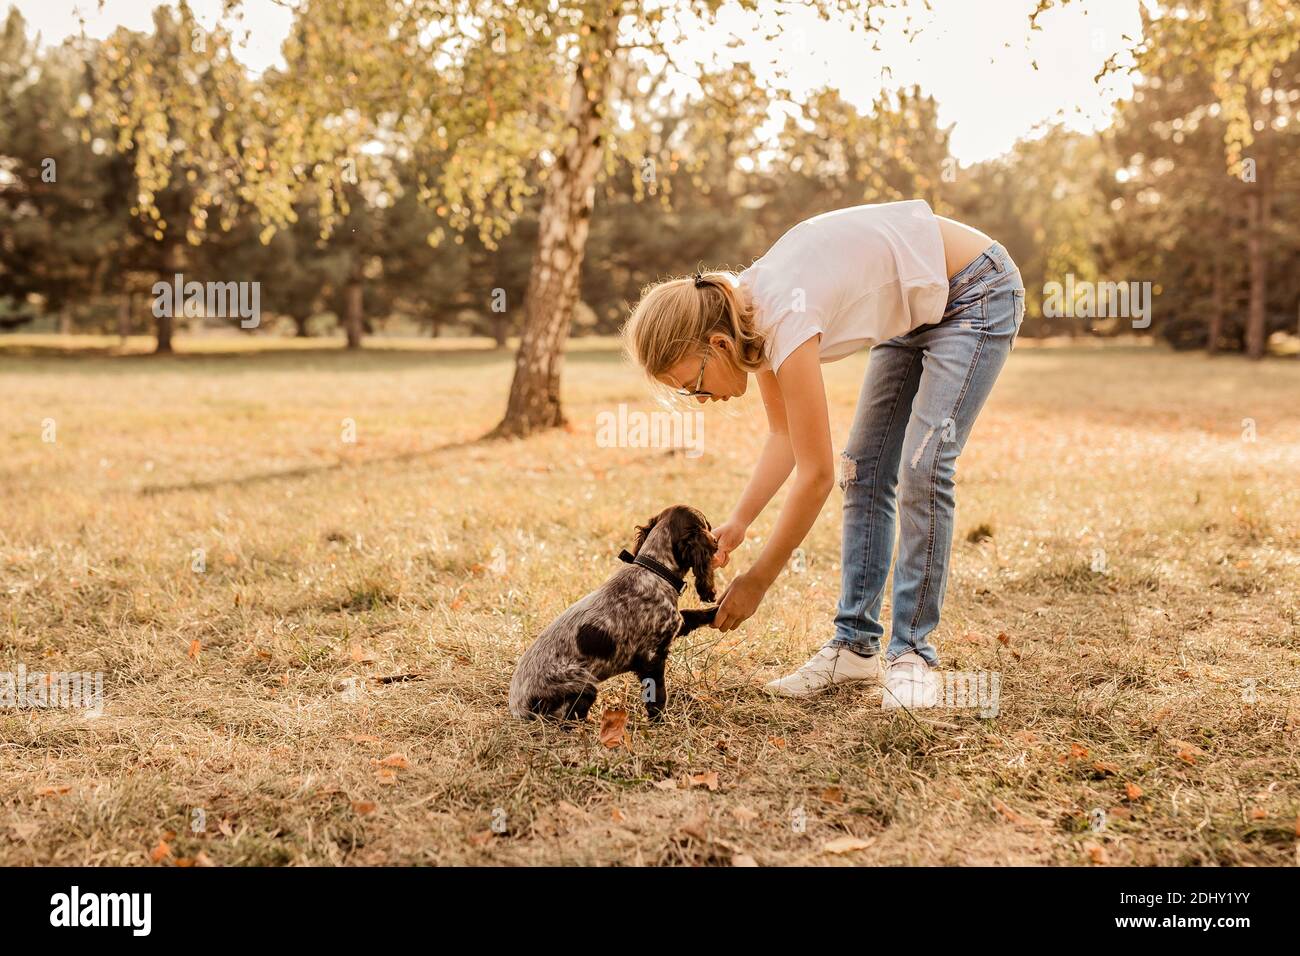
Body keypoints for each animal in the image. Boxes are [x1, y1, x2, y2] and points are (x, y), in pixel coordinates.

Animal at [506, 504, 717, 723]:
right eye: (708, 525)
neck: (655, 571)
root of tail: (518, 708)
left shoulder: (674, 626)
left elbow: (695, 614)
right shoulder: (651, 658)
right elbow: (658, 697)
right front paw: (661, 722)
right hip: (584, 685)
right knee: (569, 717)